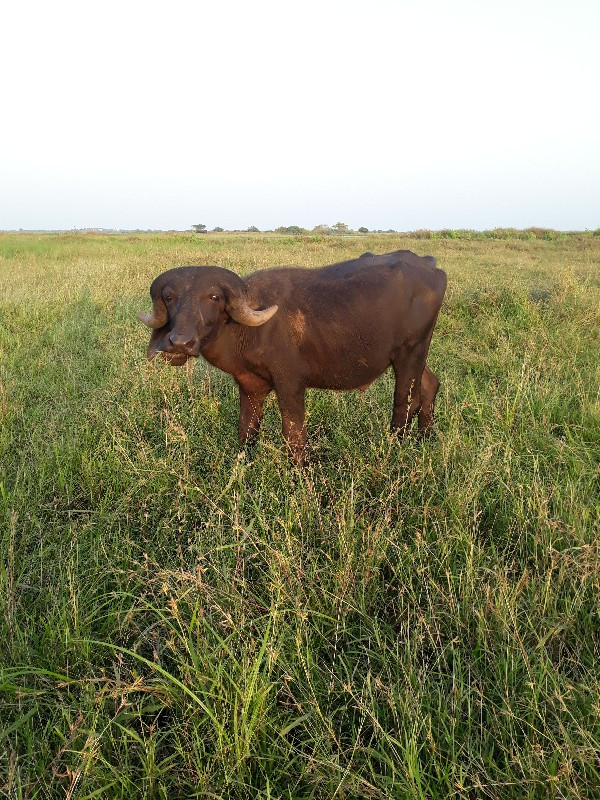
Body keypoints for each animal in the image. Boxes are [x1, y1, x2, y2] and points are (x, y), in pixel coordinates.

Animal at [139, 250, 446, 462]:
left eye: (214, 297)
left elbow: (294, 435)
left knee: (405, 403)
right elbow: (246, 431)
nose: (180, 343)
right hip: (417, 355)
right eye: (169, 297)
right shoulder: (250, 386)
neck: (246, 330)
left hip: (409, 354)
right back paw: (425, 438)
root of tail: (431, 266)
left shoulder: (290, 383)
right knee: (430, 385)